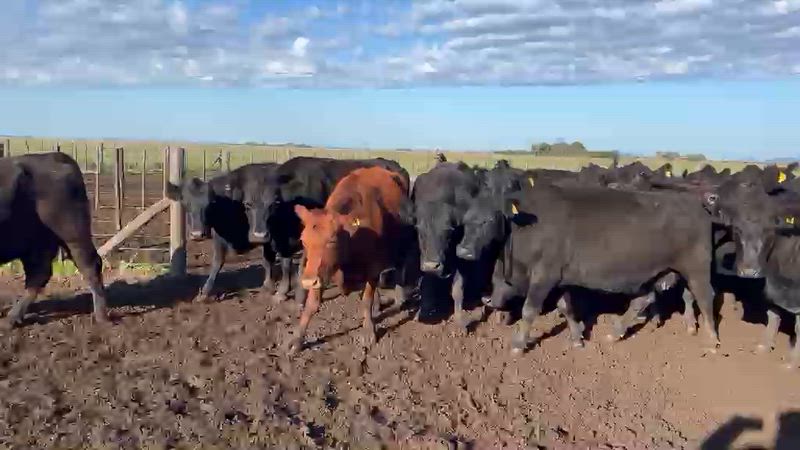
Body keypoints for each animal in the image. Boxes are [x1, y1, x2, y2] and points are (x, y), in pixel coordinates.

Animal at [0, 153, 108, 326]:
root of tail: (56, 156)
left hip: (72, 234)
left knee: (90, 266)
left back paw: (101, 317)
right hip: (38, 242)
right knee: (39, 275)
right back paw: (14, 317)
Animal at [288, 167, 414, 354]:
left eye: (332, 240)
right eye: (303, 240)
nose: (308, 281)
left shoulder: (373, 267)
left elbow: (366, 300)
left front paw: (368, 331)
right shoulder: (321, 272)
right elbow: (311, 304)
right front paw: (297, 339)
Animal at [460, 183, 718, 354]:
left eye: (488, 220)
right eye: (465, 220)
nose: (463, 251)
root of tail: (697, 204)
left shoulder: (544, 277)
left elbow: (529, 310)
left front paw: (518, 344)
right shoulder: (559, 280)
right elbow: (566, 308)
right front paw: (577, 338)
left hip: (696, 270)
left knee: (706, 298)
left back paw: (712, 340)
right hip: (656, 273)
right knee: (642, 300)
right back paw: (615, 333)